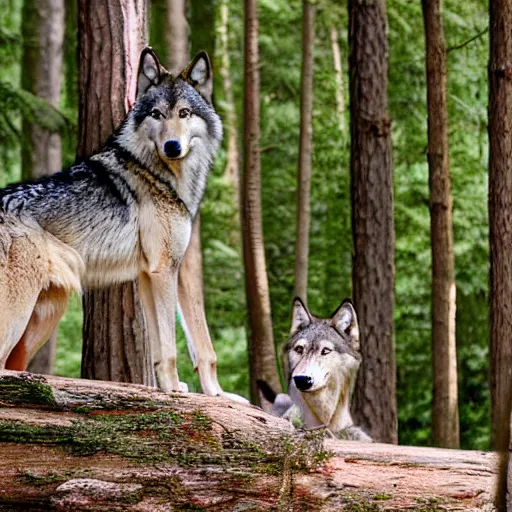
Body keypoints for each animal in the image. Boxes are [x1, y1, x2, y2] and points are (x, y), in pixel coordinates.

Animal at [0, 46, 226, 394]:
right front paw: (174, 390)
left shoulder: (155, 273)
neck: (158, 174)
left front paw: (201, 392)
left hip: (44, 317)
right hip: (19, 315)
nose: (172, 146)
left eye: (184, 113)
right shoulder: (163, 270)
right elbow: (172, 348)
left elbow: (177, 348)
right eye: (156, 114)